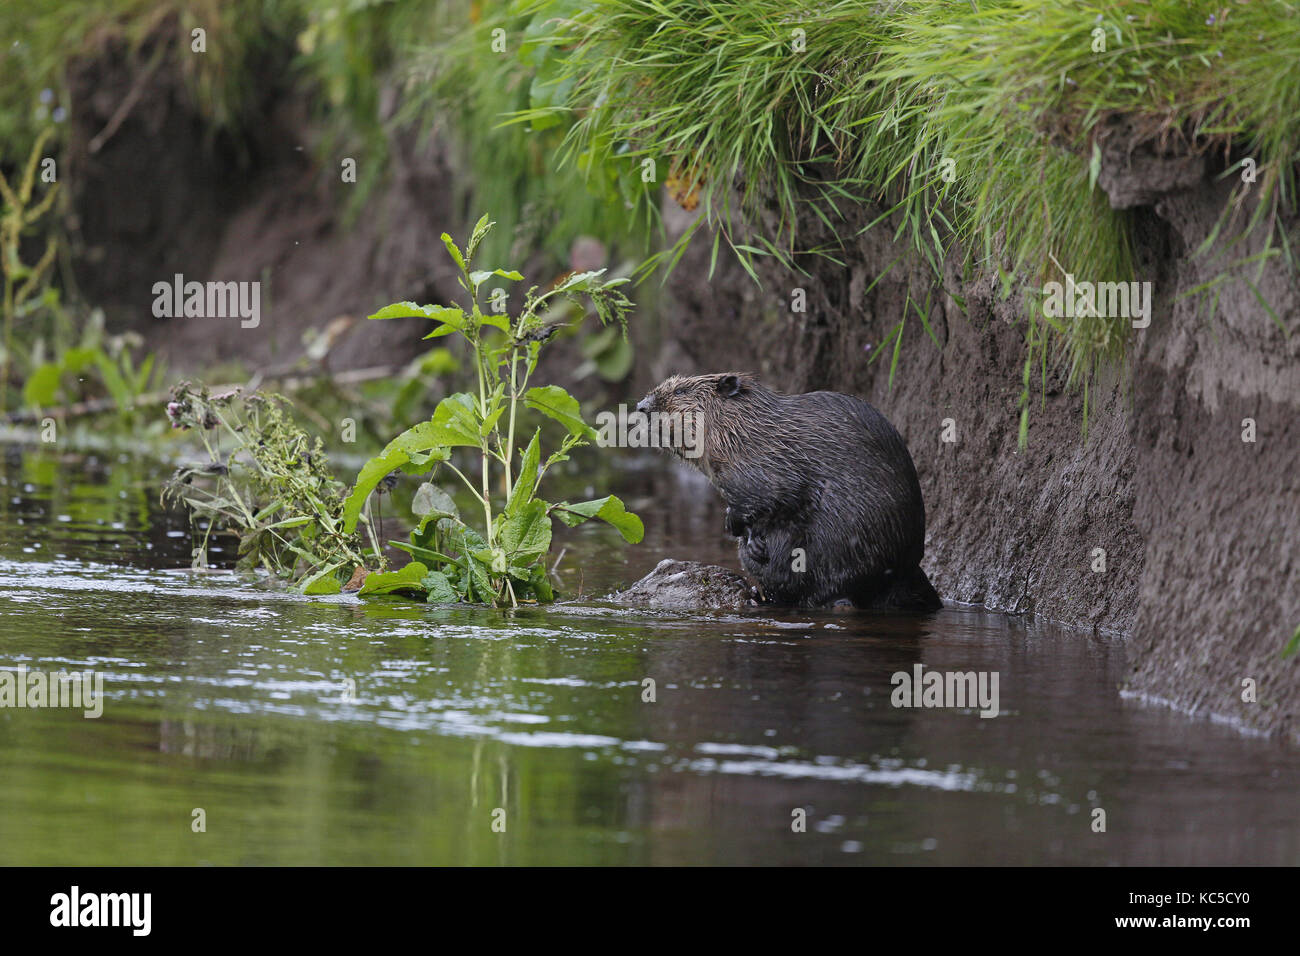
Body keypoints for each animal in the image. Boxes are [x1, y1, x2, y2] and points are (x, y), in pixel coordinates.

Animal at [634, 369, 941, 608]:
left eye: (681, 390)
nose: (641, 404)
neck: (745, 429)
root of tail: (909, 570)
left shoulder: (763, 463)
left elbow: (775, 494)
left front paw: (738, 526)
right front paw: (750, 538)